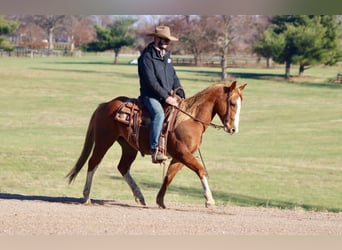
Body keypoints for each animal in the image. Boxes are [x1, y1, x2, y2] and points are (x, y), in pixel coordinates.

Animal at [67, 81, 247, 208]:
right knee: (93, 163)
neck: (190, 119)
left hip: (128, 147)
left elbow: (168, 176)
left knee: (123, 167)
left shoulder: (180, 157)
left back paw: (139, 196)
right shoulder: (183, 153)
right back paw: (86, 196)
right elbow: (201, 170)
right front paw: (209, 200)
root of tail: (104, 105)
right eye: (232, 103)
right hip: (104, 141)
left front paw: (160, 201)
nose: (233, 129)